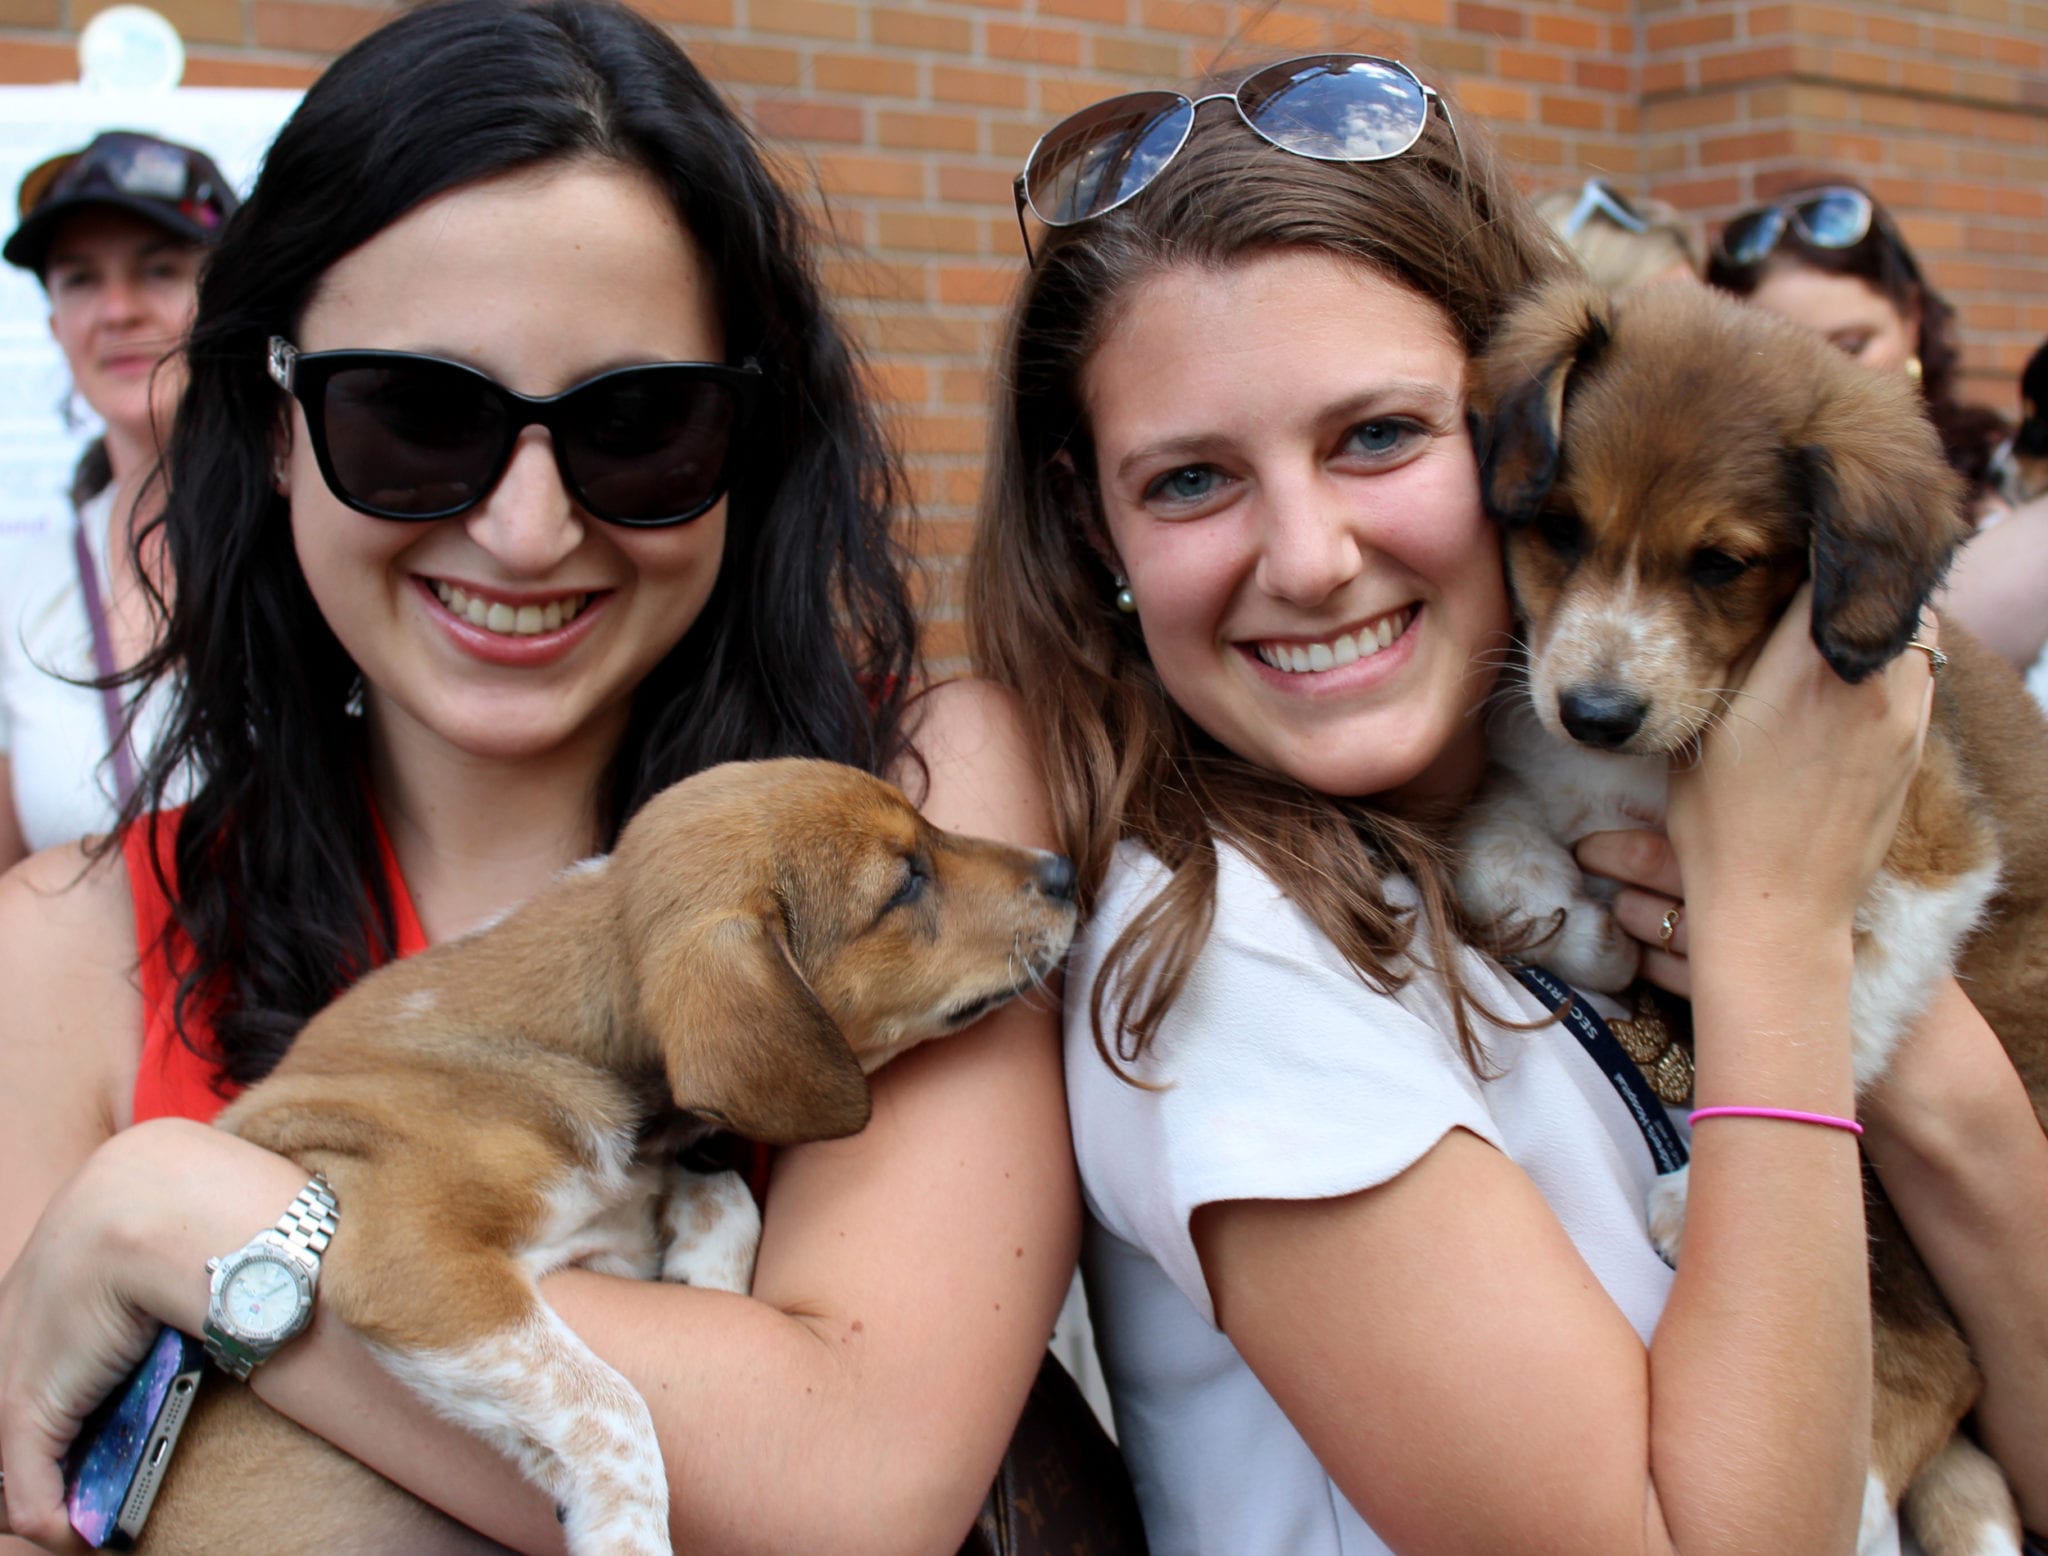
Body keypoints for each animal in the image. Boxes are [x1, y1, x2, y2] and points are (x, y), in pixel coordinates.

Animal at [121, 761, 1081, 1556]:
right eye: (905, 882)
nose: (1068, 872)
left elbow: (717, 1192)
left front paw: (703, 1267)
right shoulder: (412, 1260)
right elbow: (608, 1403)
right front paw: (629, 1535)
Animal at [1458, 276, 2048, 1556]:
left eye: (1720, 563)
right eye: (1559, 528)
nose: (1595, 709)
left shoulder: (1932, 849)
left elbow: (1849, 986)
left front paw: (1698, 1193)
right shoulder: (1527, 737)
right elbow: (1493, 841)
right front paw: (1582, 923)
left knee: (1935, 1360)